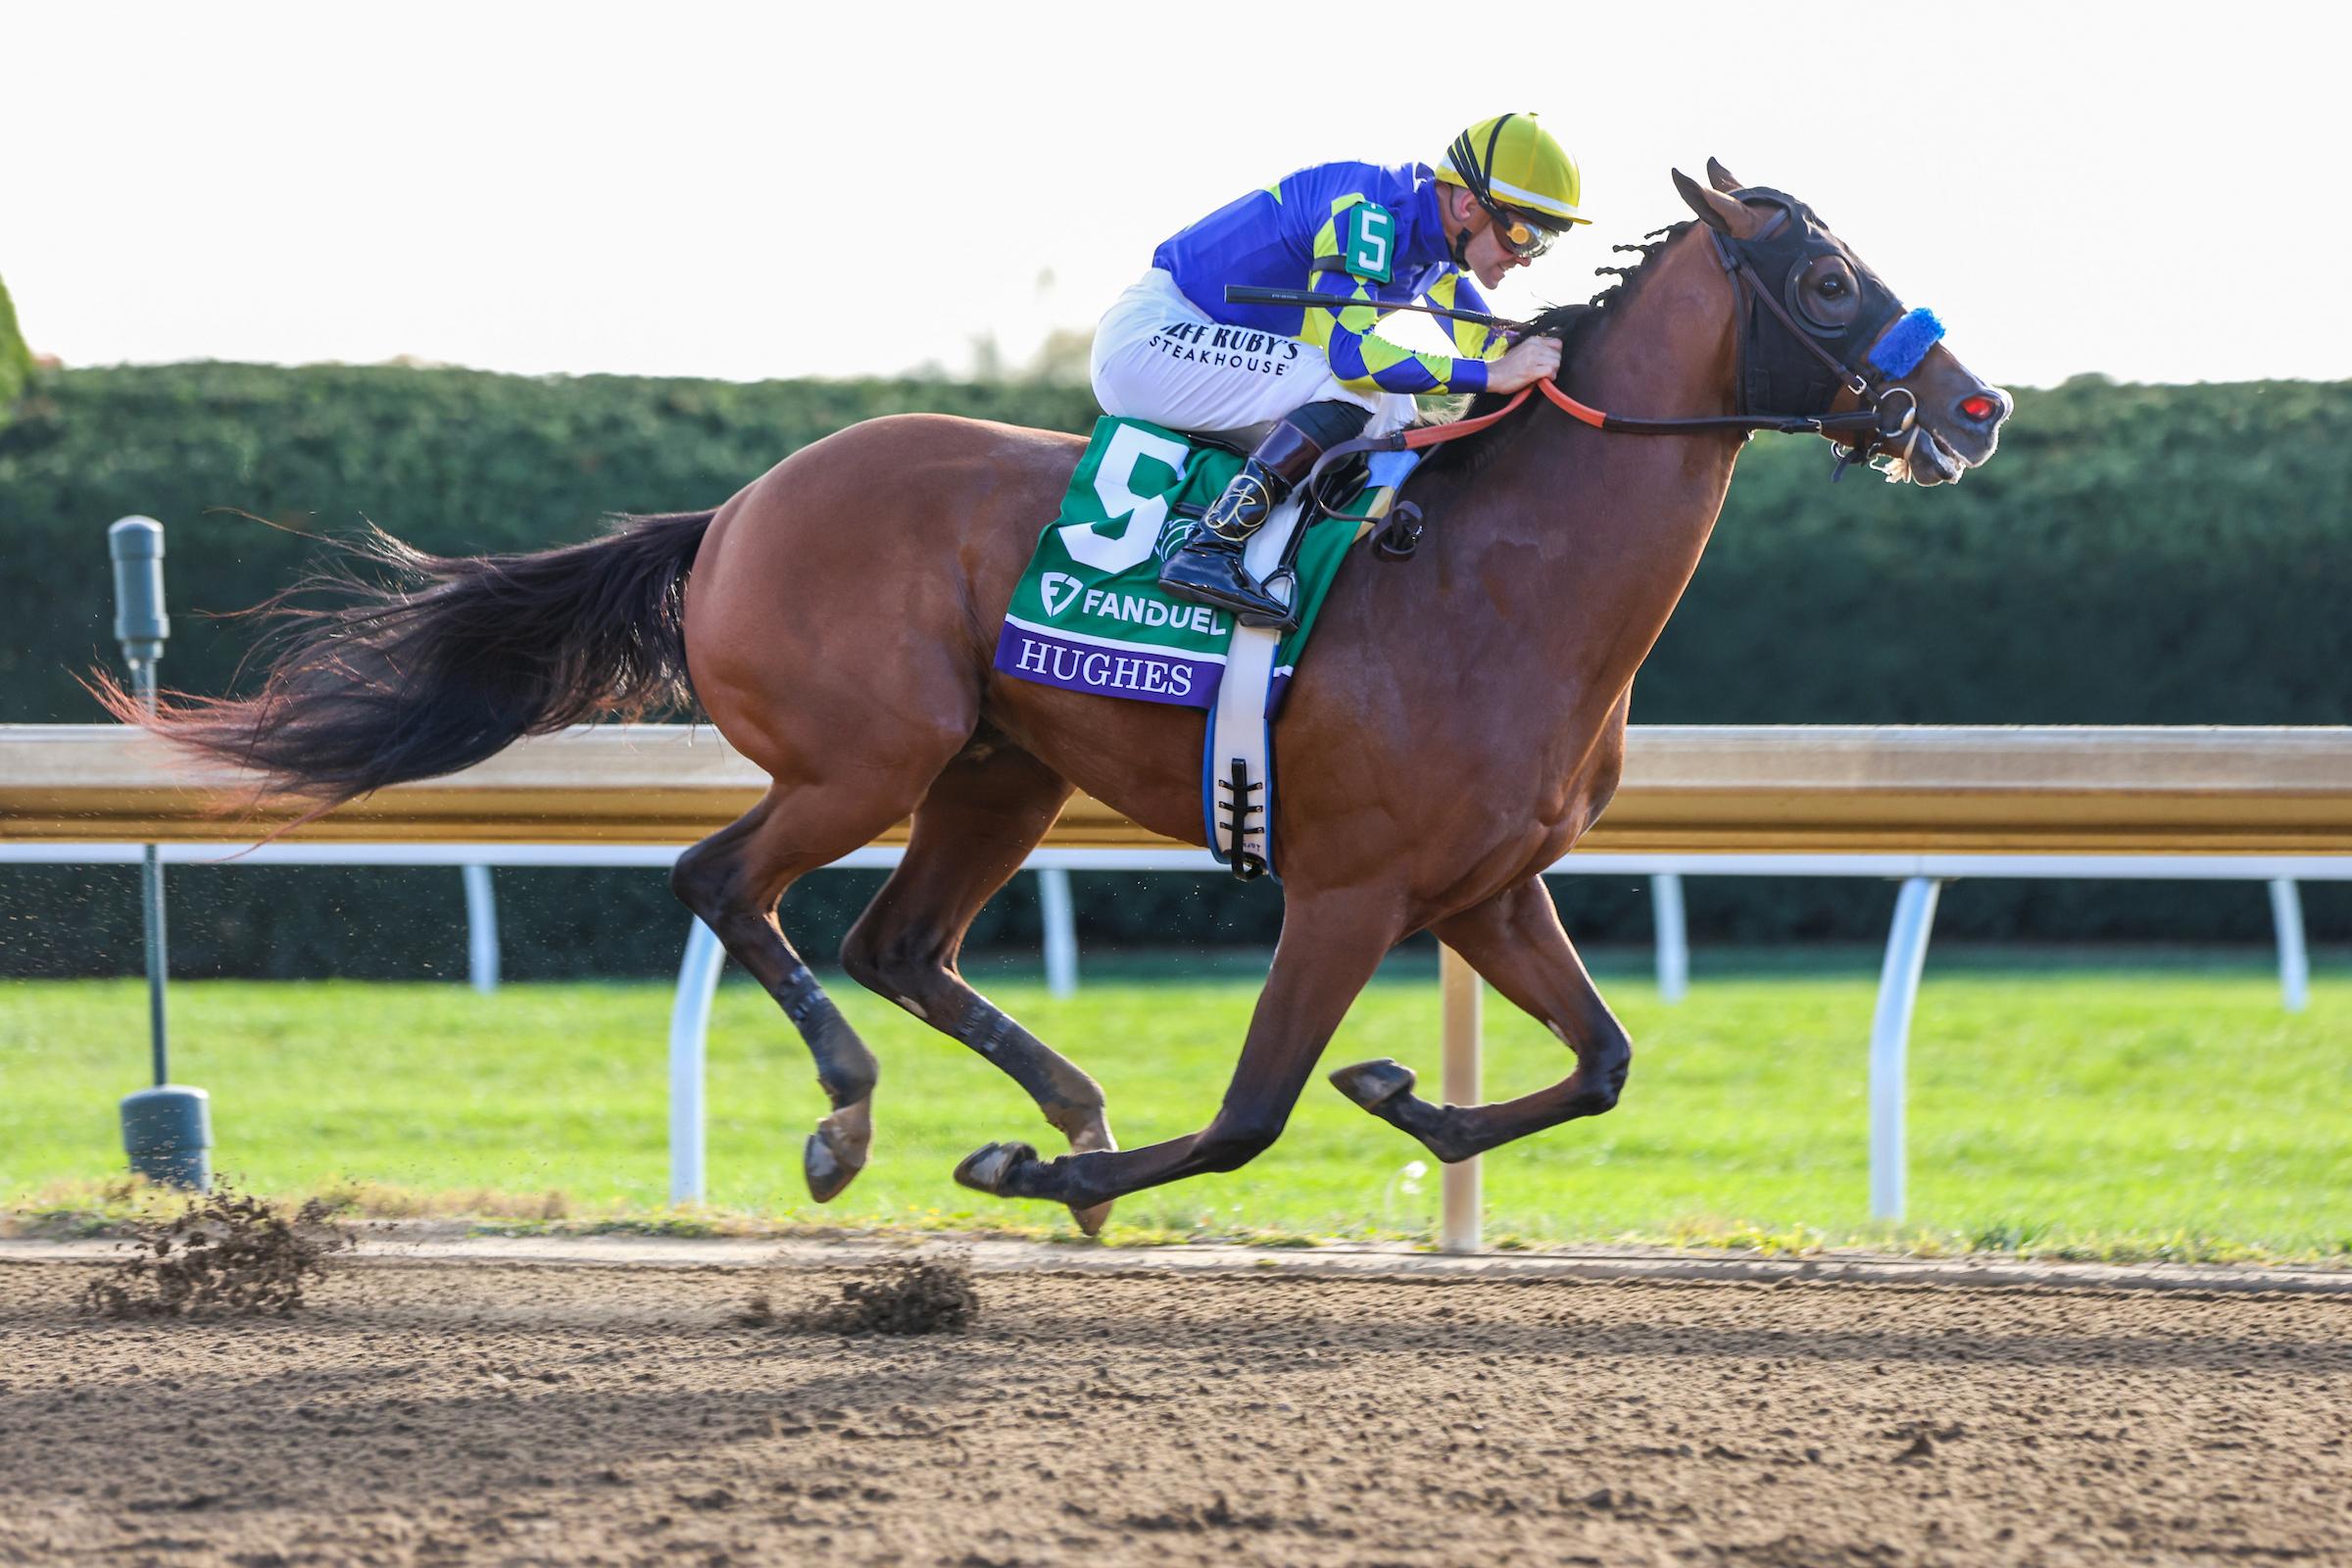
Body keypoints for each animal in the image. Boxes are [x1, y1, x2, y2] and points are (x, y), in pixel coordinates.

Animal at [105, 163, 2010, 1235]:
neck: (1499, 573)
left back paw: (1053, 1102)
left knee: (895, 942)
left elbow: (1606, 1064)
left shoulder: (1483, 887)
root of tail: (738, 506)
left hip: (1000, 772)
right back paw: (862, 1117)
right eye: (1825, 279)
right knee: (731, 886)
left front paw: (1401, 1096)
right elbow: (1247, 1119)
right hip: (866, 756)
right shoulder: (1350, 887)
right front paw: (1063, 1182)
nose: (1974, 407)